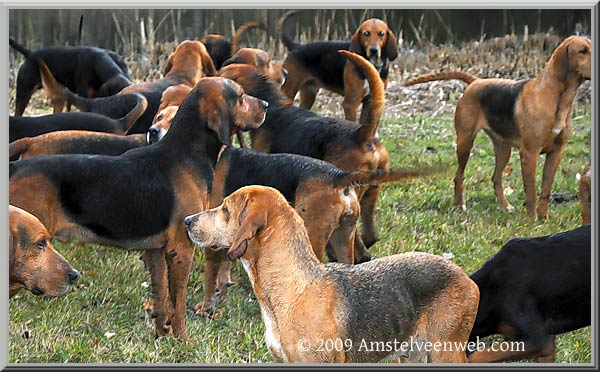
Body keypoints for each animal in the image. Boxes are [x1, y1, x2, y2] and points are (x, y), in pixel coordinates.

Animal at [8, 77, 268, 338]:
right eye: (241, 96)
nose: (266, 104)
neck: (185, 154)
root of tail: (18, 164)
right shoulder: (181, 249)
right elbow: (178, 301)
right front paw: (182, 337)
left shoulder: (156, 250)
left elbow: (162, 297)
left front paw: (162, 334)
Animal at [404, 34, 592, 219]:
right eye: (583, 51)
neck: (558, 99)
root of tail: (476, 81)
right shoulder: (529, 153)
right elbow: (531, 191)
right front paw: (532, 220)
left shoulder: (556, 153)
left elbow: (546, 189)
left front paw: (543, 218)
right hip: (465, 143)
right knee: (459, 176)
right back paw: (459, 205)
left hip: (503, 148)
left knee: (496, 178)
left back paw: (504, 205)